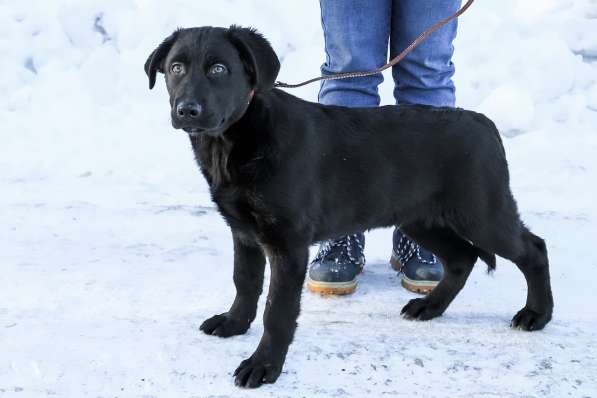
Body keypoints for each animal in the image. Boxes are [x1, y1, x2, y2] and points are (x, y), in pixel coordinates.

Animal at [143, 26, 548, 388]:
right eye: (176, 68)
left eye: (218, 69)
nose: (187, 110)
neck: (233, 141)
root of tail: (485, 124)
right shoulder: (243, 232)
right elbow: (245, 282)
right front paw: (234, 323)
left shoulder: (288, 244)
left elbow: (278, 309)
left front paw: (264, 366)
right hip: (421, 218)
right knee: (462, 258)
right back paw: (430, 307)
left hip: (482, 212)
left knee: (533, 248)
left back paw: (536, 314)